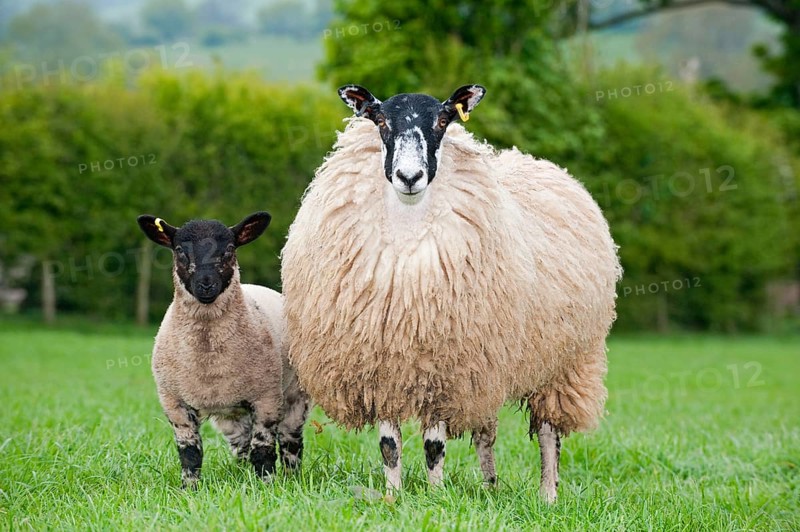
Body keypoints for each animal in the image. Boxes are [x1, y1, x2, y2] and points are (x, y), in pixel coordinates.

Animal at [137, 211, 308, 488]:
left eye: (229, 249)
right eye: (179, 251)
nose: (206, 285)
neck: (209, 358)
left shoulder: (267, 398)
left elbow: (263, 450)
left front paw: (266, 485)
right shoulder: (174, 403)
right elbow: (190, 453)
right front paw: (189, 488)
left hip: (294, 395)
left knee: (290, 441)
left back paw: (292, 476)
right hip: (233, 413)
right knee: (241, 444)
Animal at [281, 84, 621, 501]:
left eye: (444, 121)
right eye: (380, 121)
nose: (409, 176)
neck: (408, 234)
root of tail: (542, 165)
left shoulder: (446, 371)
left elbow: (433, 446)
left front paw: (435, 495)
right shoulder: (383, 365)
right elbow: (389, 445)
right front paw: (393, 496)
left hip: (564, 363)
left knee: (548, 433)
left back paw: (548, 495)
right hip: (489, 366)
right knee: (486, 433)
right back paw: (490, 486)